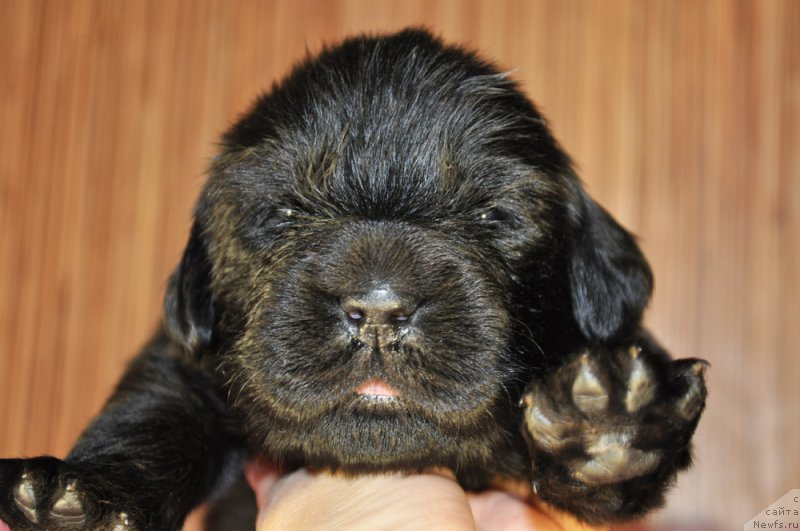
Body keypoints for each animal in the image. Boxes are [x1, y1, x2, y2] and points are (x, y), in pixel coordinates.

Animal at [1, 31, 708, 528]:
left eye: (494, 216)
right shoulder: (183, 363)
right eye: (283, 214)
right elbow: (154, 412)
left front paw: (609, 424)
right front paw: (79, 497)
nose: (378, 310)